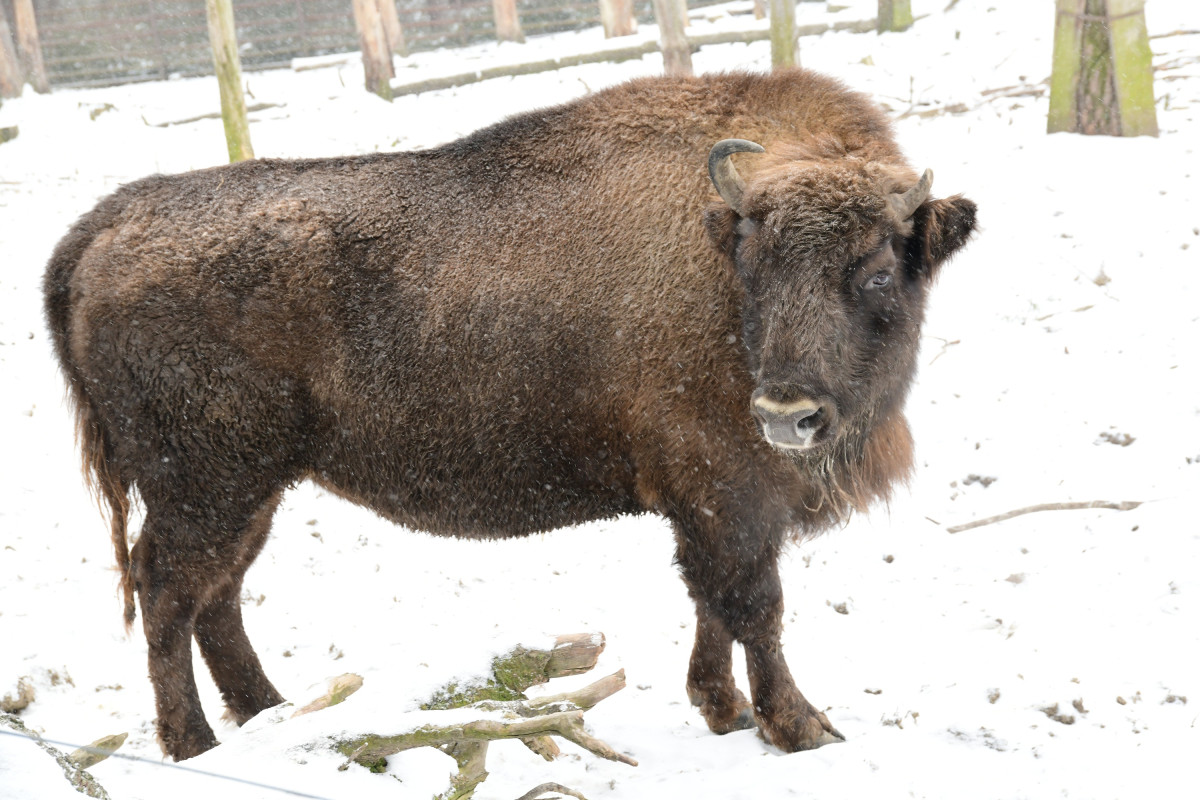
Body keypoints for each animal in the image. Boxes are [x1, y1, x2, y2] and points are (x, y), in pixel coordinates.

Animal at [44, 69, 977, 761]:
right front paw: (801, 726)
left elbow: (712, 600)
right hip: (206, 487)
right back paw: (195, 744)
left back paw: (268, 716)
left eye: (877, 272)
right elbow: (756, 605)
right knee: (170, 592)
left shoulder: (711, 506)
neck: (717, 262)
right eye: (755, 267)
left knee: (219, 596)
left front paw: (724, 711)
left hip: (253, 489)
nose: (789, 414)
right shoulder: (730, 495)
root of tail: (105, 224)